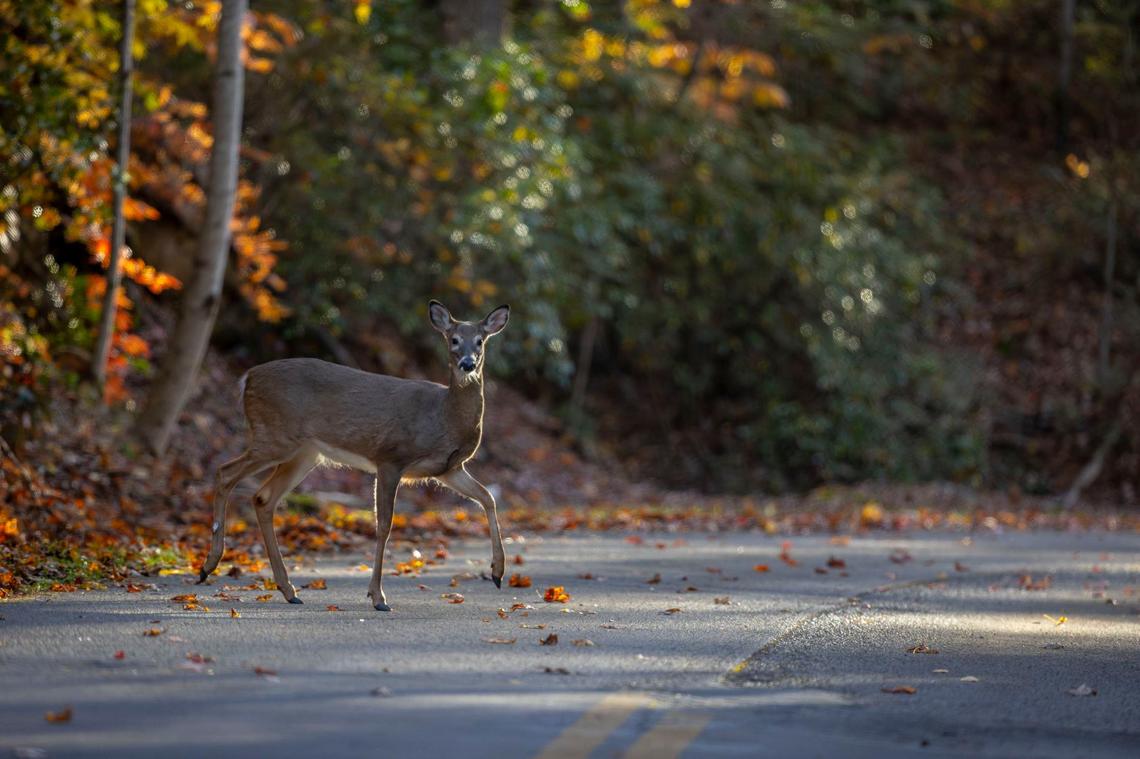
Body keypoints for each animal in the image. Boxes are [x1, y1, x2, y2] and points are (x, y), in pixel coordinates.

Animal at [197, 300, 510, 611]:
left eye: (480, 340)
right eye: (454, 339)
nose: (468, 363)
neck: (443, 416)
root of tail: (247, 378)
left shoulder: (448, 469)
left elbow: (488, 498)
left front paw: (497, 572)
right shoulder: (390, 458)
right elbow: (384, 525)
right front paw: (378, 596)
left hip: (304, 452)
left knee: (263, 498)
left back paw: (288, 590)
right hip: (275, 437)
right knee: (225, 472)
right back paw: (209, 566)